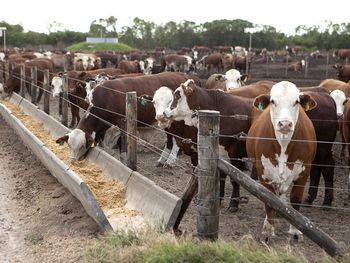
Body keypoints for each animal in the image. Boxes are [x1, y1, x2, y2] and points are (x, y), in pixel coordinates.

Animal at [246, 81, 318, 242]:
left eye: (296, 101)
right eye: (273, 101)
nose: (285, 124)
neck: (284, 144)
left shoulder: (304, 172)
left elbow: (296, 198)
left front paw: (295, 230)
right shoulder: (263, 172)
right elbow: (268, 201)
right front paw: (268, 230)